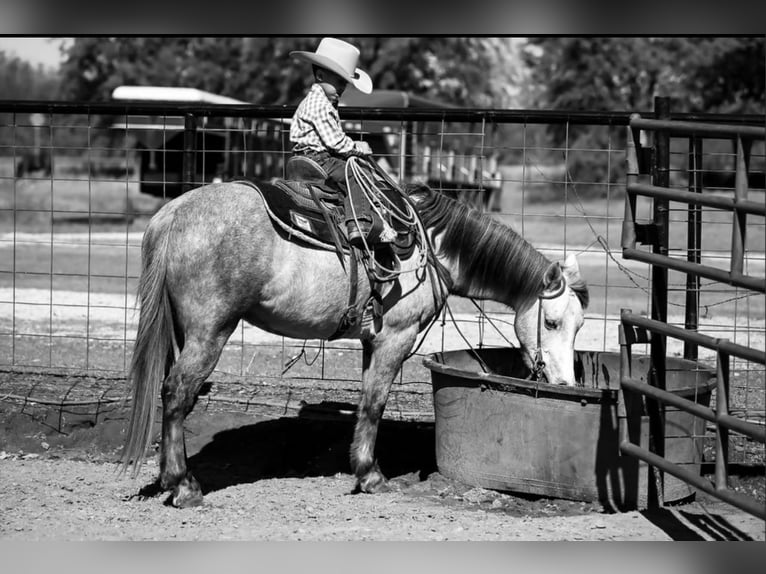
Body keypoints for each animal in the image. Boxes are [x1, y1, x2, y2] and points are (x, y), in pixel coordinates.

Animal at [121, 180, 589, 507]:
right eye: (551, 322)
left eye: (580, 327)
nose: (565, 384)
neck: (431, 246)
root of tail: (173, 213)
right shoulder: (396, 338)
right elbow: (376, 403)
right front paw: (370, 476)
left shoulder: (371, 340)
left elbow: (366, 401)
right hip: (210, 331)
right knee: (177, 393)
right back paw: (183, 487)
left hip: (183, 332)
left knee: (175, 397)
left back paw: (170, 478)